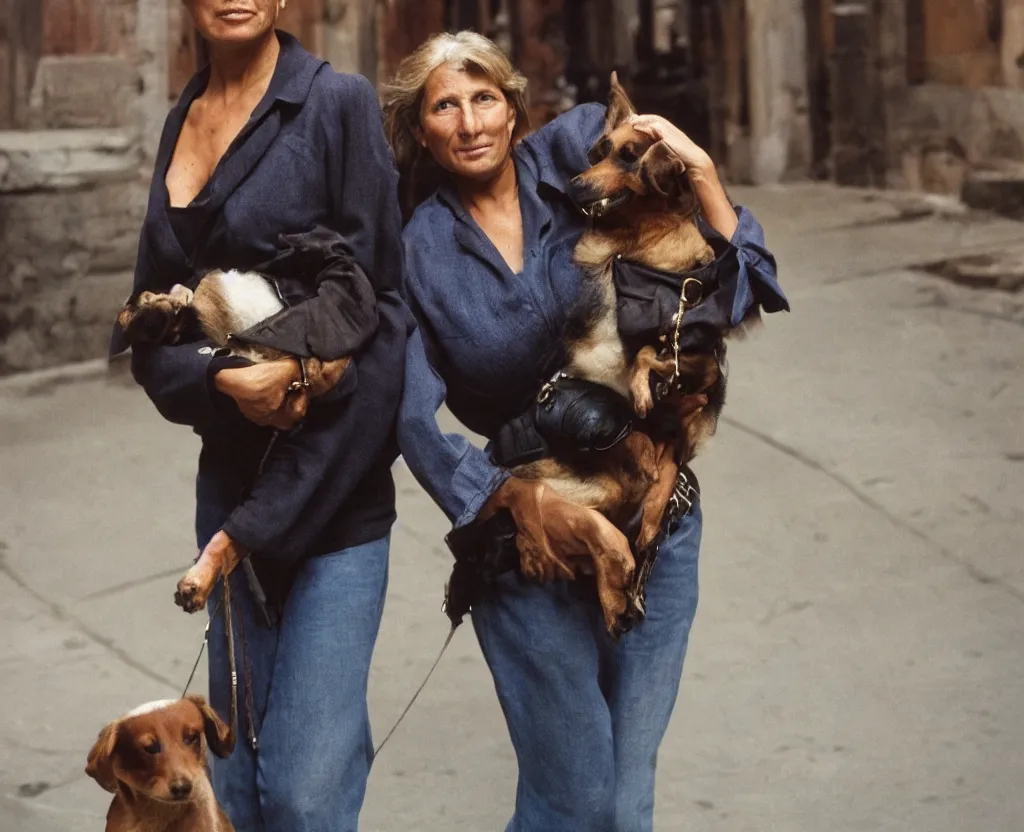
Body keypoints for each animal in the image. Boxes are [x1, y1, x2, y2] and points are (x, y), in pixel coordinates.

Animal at [507, 74, 724, 627]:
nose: (575, 186)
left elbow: (652, 356)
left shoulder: (701, 359)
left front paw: (646, 388)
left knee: (656, 481)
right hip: (584, 488)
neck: (638, 246)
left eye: (629, 157)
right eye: (598, 151)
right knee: (590, 527)